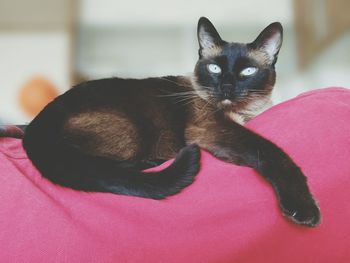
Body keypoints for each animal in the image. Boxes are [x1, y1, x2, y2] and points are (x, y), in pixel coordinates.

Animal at [21, 17, 322, 227]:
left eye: (247, 71)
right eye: (215, 68)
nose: (225, 87)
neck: (245, 114)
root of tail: (36, 126)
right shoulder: (213, 129)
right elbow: (274, 153)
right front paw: (305, 209)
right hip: (132, 129)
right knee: (100, 165)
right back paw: (156, 162)